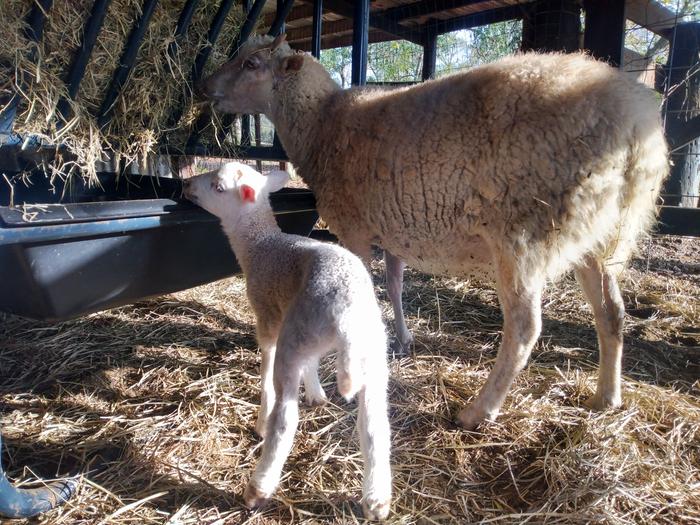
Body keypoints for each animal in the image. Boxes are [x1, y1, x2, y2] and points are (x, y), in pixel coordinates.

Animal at [183, 163, 394, 520]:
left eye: (218, 187)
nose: (186, 186)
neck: (258, 243)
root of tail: (347, 312)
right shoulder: (296, 323)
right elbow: (312, 366)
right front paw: (317, 394)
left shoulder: (269, 316)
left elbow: (265, 365)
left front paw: (262, 419)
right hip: (370, 350)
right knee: (374, 423)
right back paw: (377, 499)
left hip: (296, 337)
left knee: (286, 419)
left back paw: (259, 486)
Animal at [201, 33, 668, 430]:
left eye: (251, 63)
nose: (206, 86)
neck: (322, 123)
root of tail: (636, 124)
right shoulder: (393, 228)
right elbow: (394, 284)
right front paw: (403, 340)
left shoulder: (355, 227)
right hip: (599, 235)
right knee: (611, 313)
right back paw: (606, 397)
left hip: (523, 233)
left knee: (524, 327)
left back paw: (479, 411)